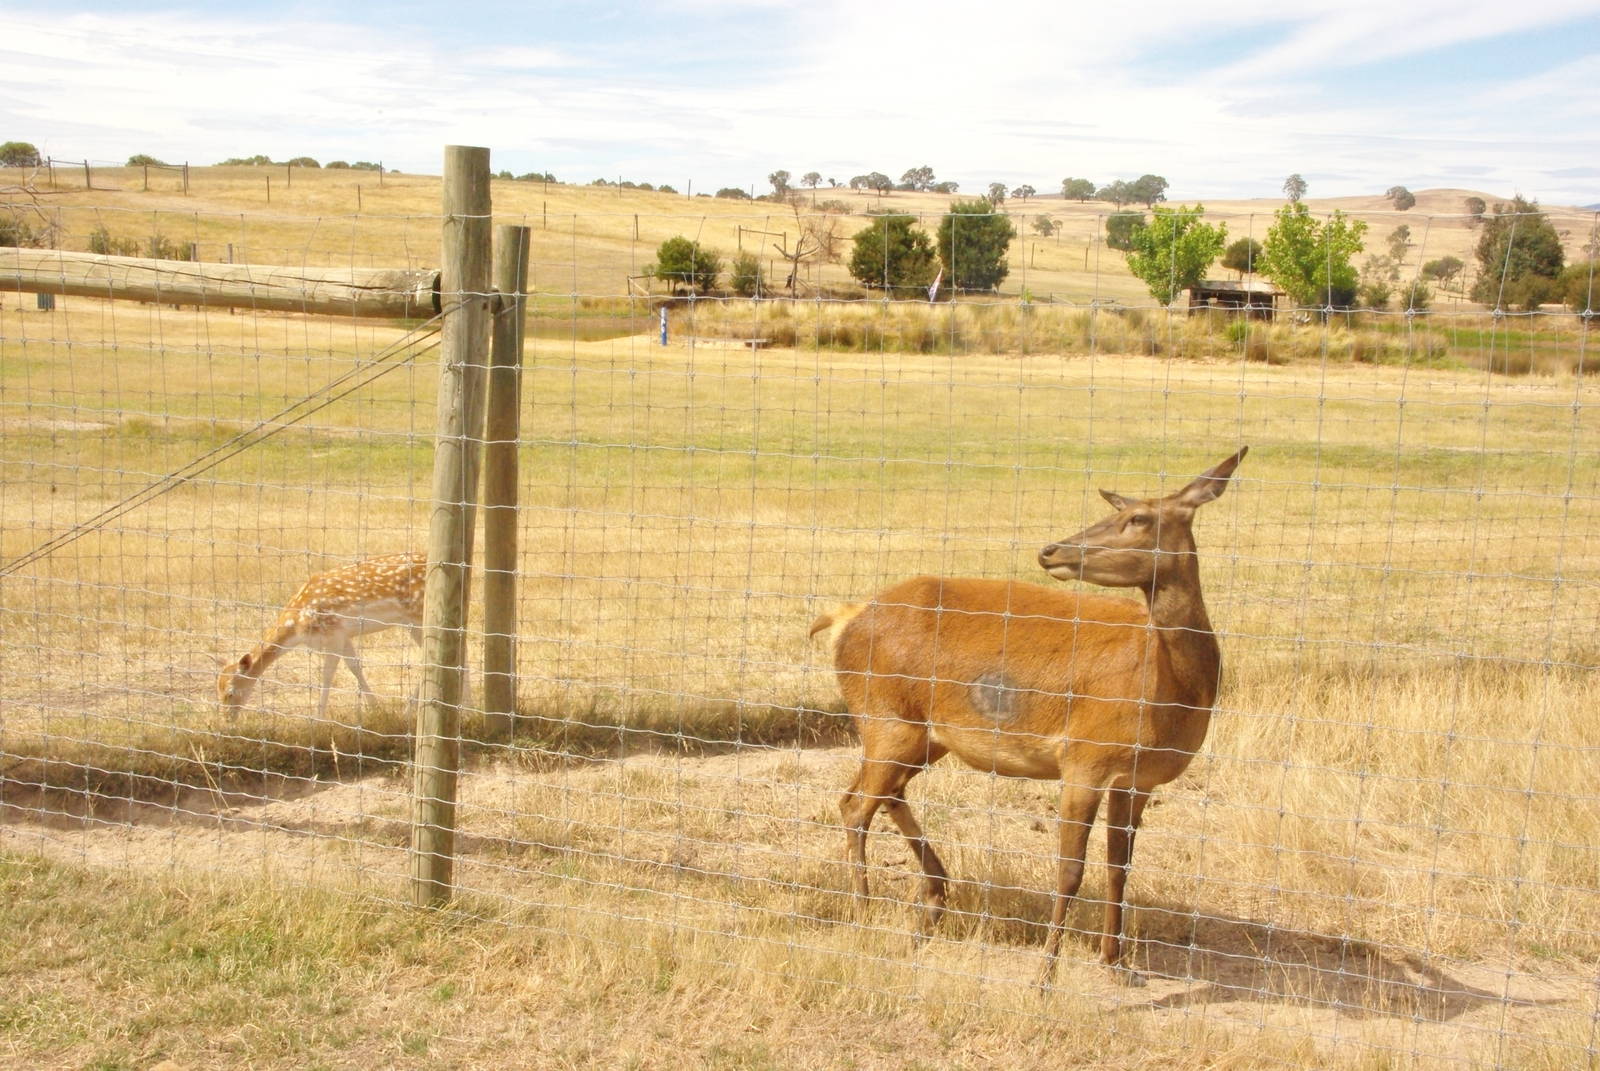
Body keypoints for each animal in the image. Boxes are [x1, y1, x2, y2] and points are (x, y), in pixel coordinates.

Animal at [217, 551, 427, 717]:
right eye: (217, 689)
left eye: (230, 692)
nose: (227, 719)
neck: (297, 627)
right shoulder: (344, 636)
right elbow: (354, 667)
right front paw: (376, 708)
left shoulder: (333, 633)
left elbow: (327, 675)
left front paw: (319, 718)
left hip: (418, 617)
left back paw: (408, 711)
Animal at [811, 447, 1246, 987]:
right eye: (1122, 509)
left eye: (1139, 517)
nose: (1051, 551)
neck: (1172, 695)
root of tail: (844, 617)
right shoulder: (1085, 759)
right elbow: (1070, 869)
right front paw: (1045, 976)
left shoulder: (1137, 779)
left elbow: (1119, 868)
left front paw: (1117, 964)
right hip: (885, 719)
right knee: (854, 804)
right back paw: (866, 912)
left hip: (924, 735)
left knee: (885, 794)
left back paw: (933, 900)